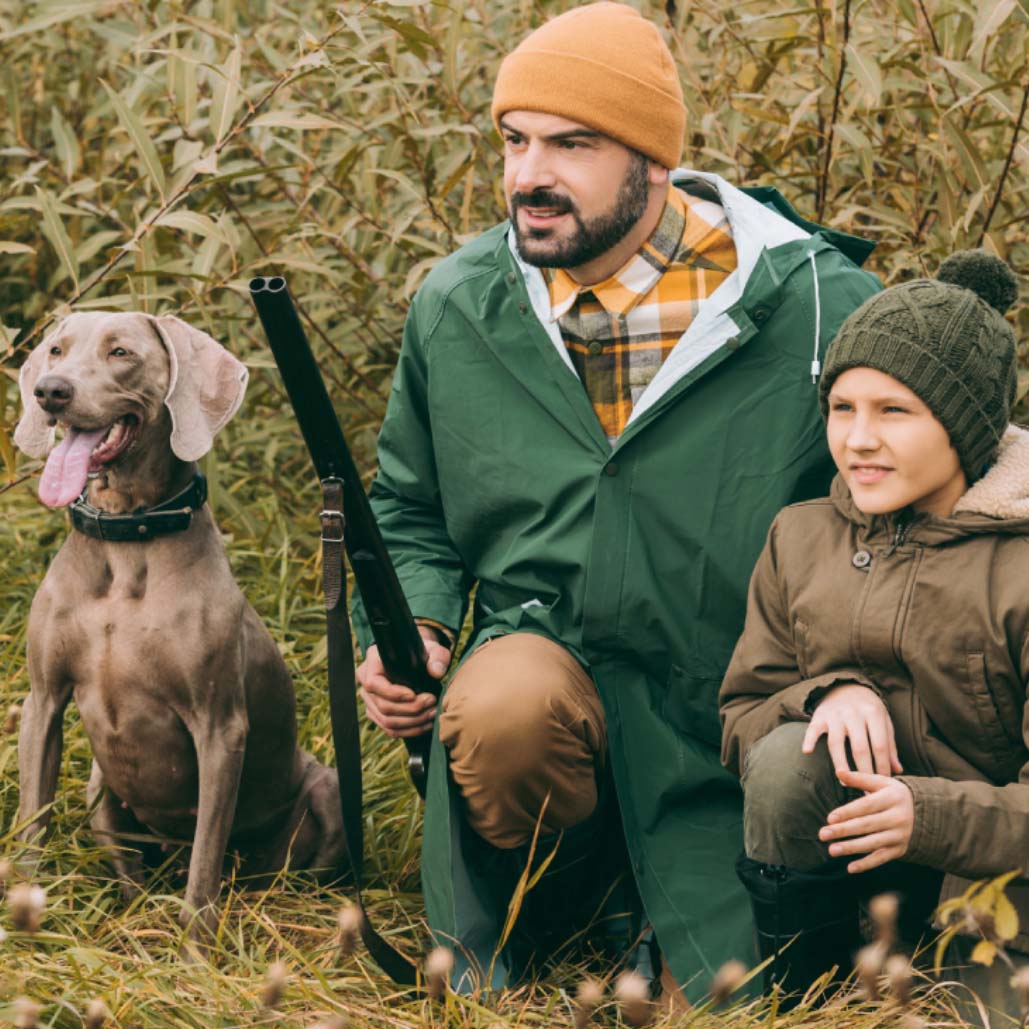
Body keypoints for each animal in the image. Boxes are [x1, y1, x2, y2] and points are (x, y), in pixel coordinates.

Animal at [14, 310, 347, 942]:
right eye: (56, 350)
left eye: (121, 352)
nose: (50, 391)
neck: (126, 538)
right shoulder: (43, 700)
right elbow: (30, 824)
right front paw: (19, 920)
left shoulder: (220, 727)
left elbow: (204, 861)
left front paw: (197, 951)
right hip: (99, 788)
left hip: (329, 789)